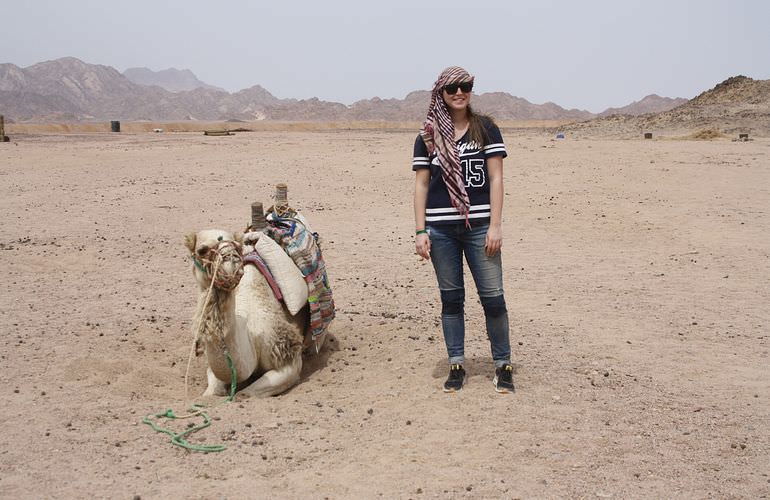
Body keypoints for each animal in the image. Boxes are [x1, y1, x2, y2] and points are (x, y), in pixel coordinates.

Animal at [184, 229, 308, 396]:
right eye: (202, 250)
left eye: (237, 246)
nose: (230, 260)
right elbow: (211, 391)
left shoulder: (288, 357)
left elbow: (245, 394)